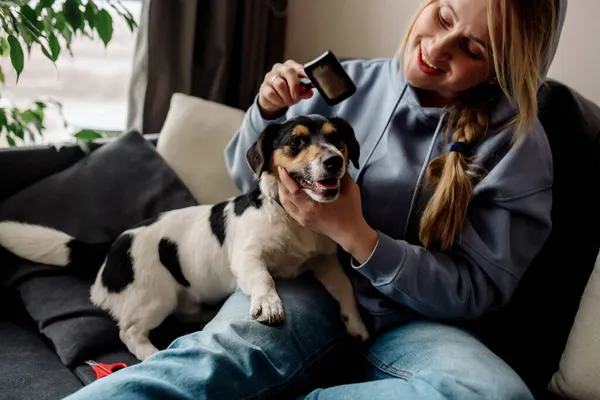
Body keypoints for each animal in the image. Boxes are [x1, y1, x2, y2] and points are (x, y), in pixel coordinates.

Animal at [0, 115, 370, 360]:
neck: (292, 220)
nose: (334, 161)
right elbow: (264, 278)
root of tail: (116, 243)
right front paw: (269, 303)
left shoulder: (325, 262)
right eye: (296, 142)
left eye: (337, 140)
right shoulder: (248, 257)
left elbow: (346, 290)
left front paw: (356, 324)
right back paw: (150, 352)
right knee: (128, 332)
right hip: (154, 296)